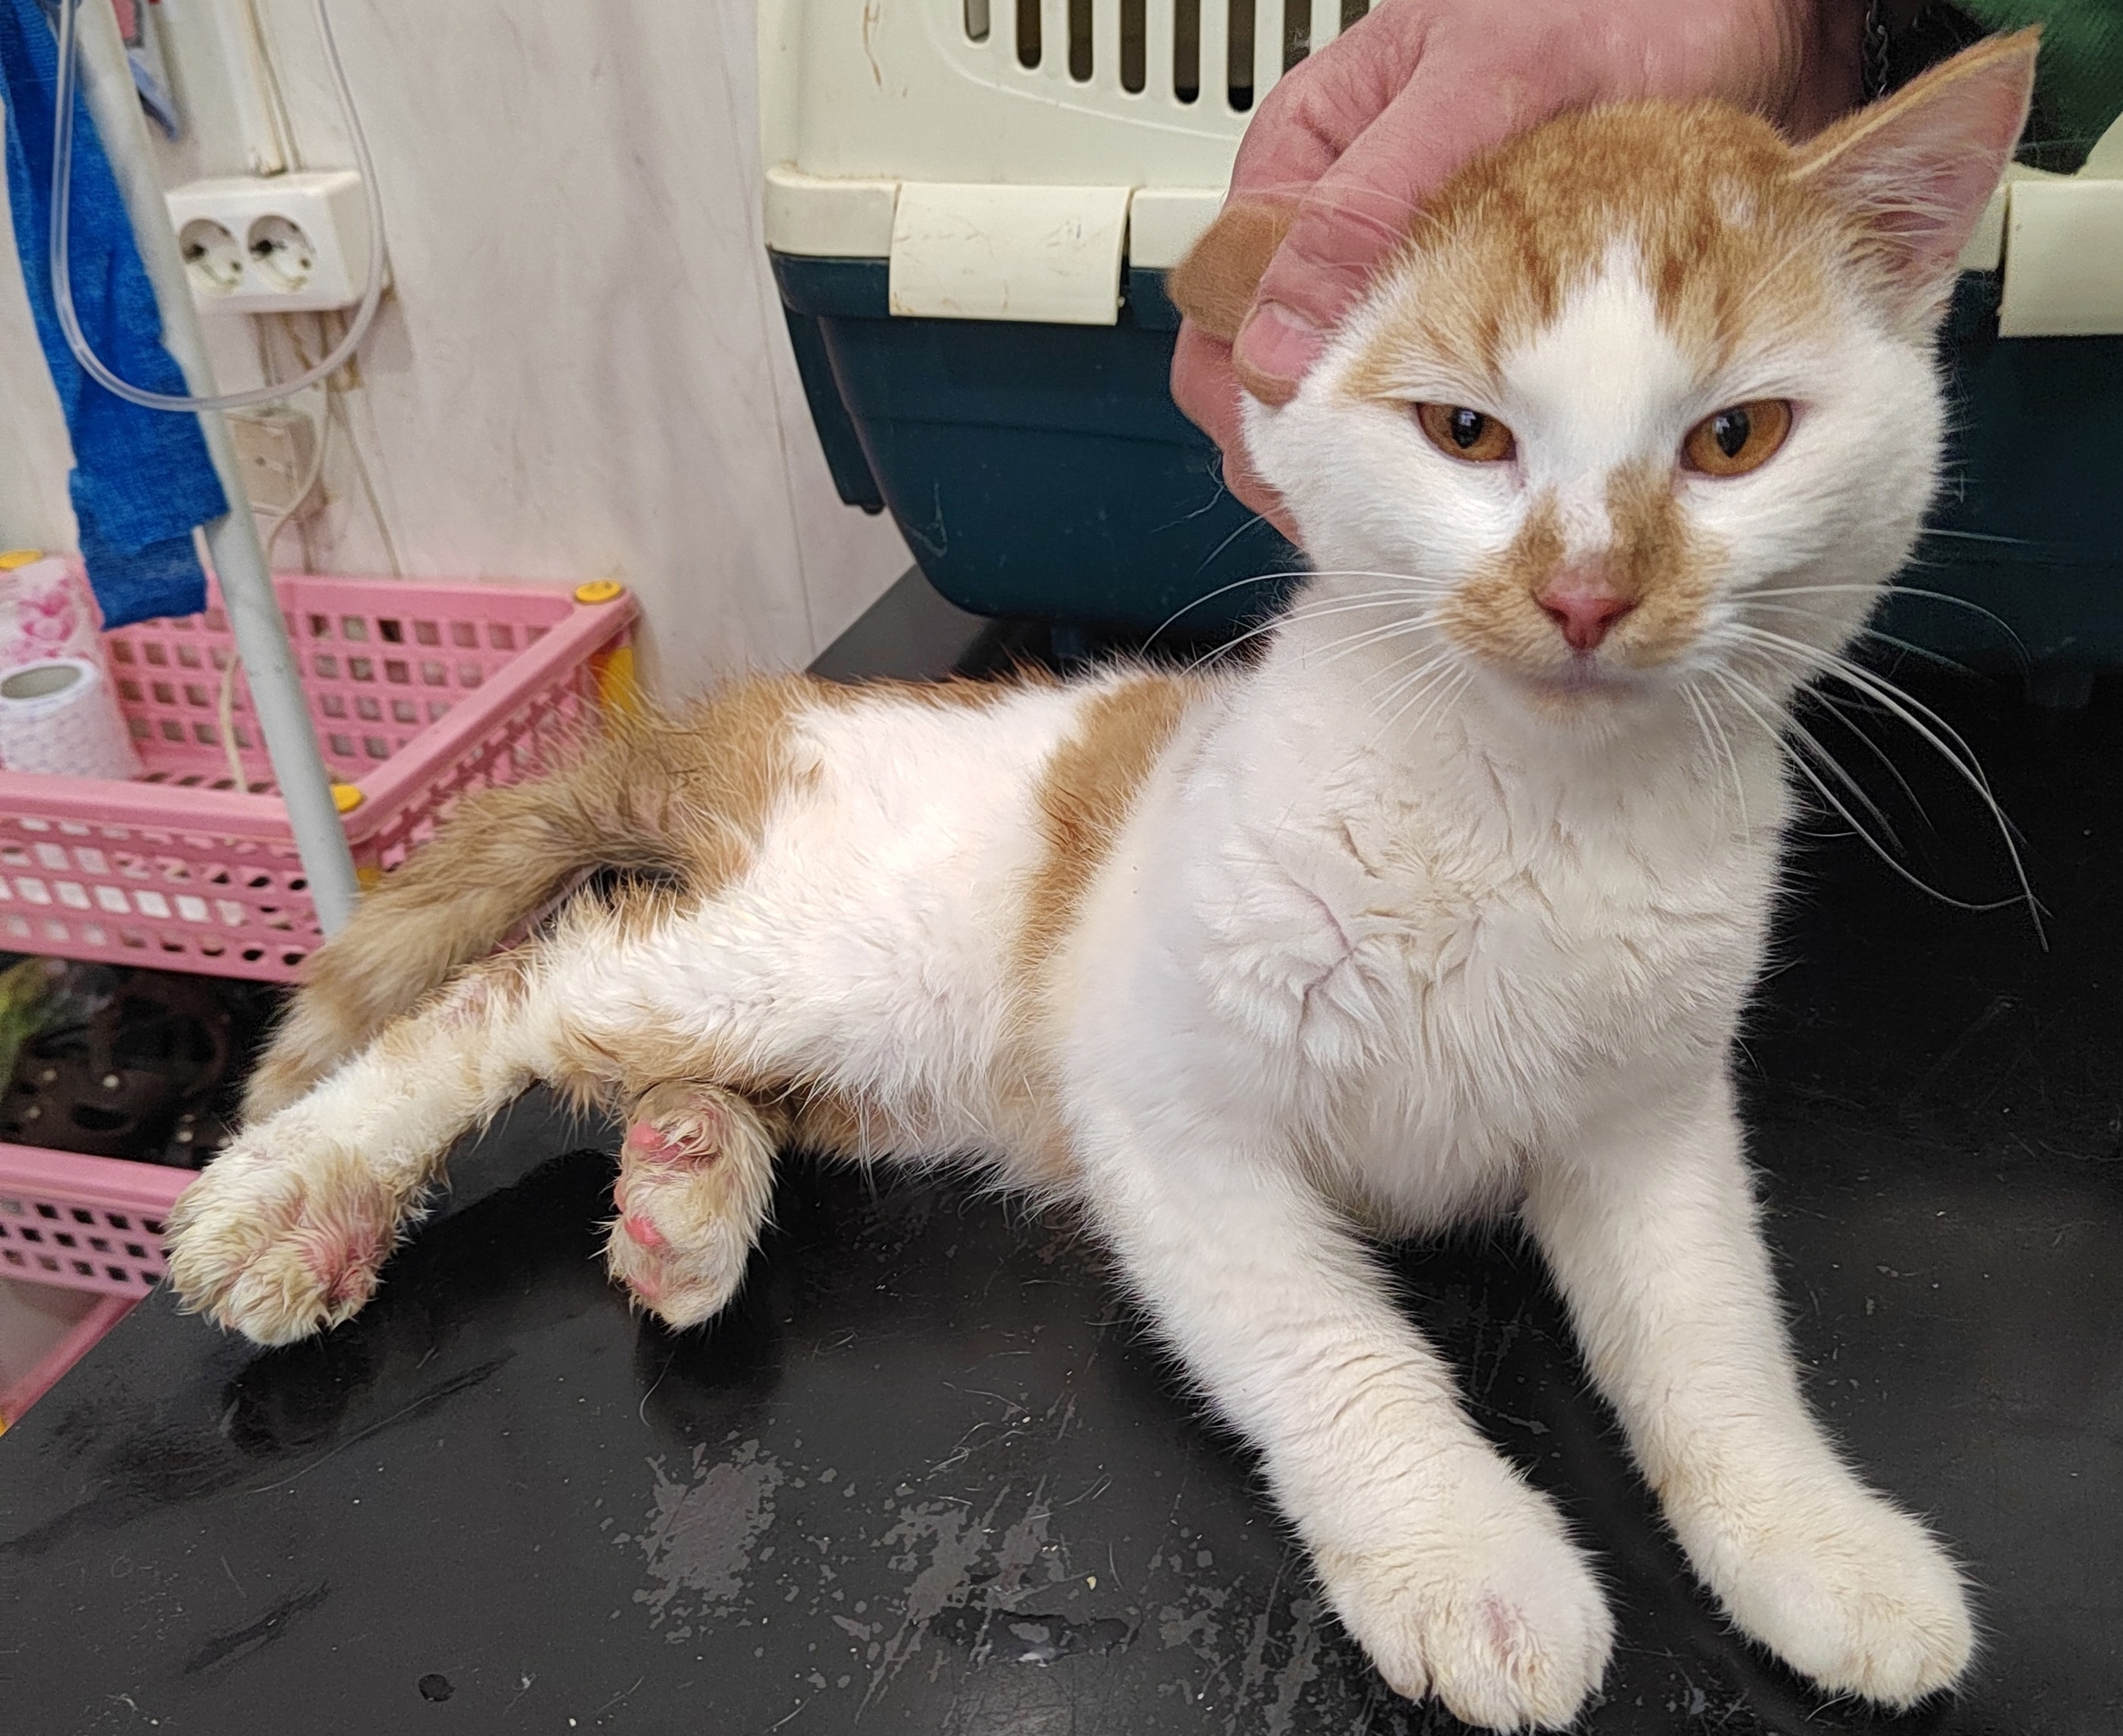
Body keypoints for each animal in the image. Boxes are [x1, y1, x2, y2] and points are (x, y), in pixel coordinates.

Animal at [165, 33, 2037, 1730]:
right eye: (1465, 432)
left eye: (1735, 438)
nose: (1585, 591)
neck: (1532, 815)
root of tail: (776, 712)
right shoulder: (1169, 1114)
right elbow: (1338, 1354)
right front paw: (1468, 1558)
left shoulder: (1648, 1122)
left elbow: (1712, 1338)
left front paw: (1815, 1539)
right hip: (820, 952)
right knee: (525, 986)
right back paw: (296, 1192)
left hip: (870, 1047)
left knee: (674, 1056)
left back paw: (684, 1188)